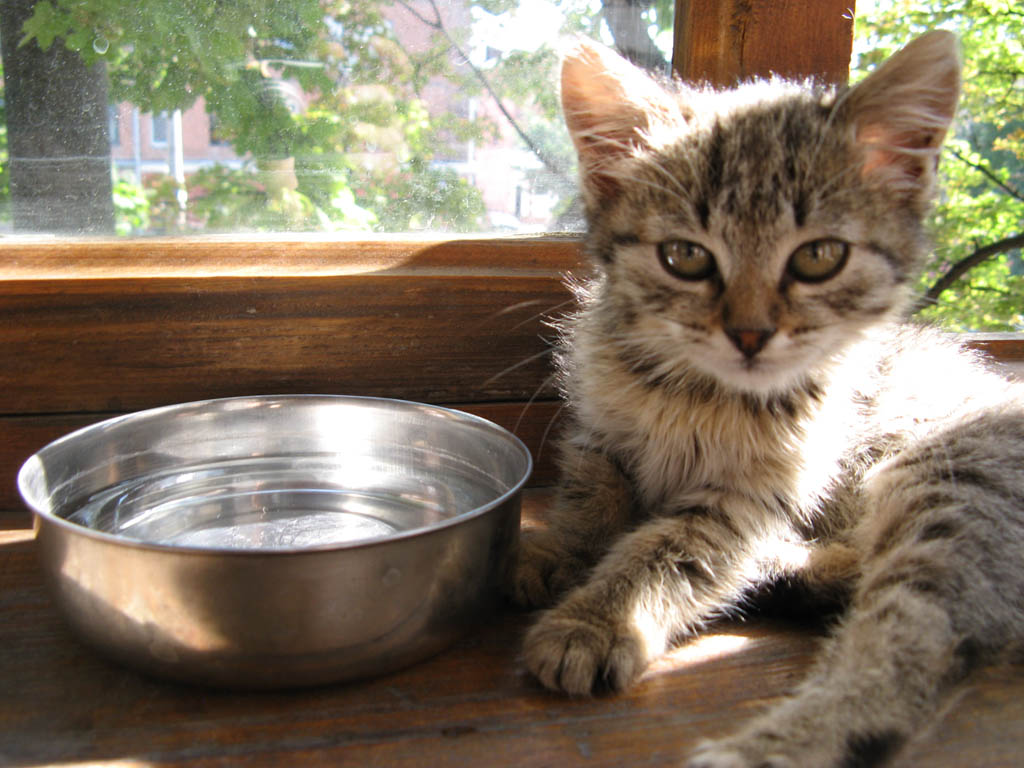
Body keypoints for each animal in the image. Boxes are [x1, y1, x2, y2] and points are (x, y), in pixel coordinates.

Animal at [509, 31, 1024, 768]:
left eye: (819, 257)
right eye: (685, 256)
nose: (750, 334)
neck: (692, 389)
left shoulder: (756, 495)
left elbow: (673, 548)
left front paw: (599, 616)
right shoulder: (600, 430)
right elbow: (590, 492)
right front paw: (552, 550)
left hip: (954, 477)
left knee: (913, 641)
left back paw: (774, 742)